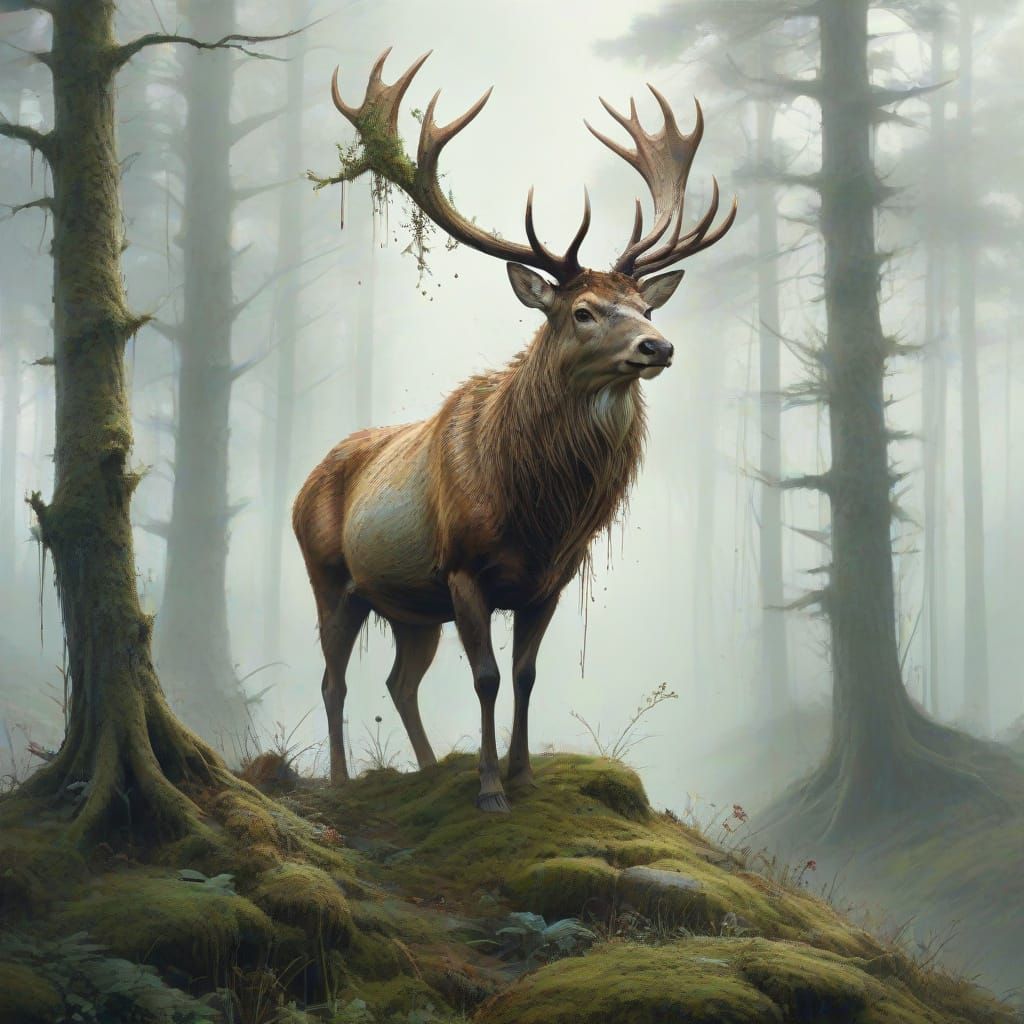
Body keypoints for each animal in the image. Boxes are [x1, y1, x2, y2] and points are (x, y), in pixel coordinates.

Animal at [293, 50, 737, 812]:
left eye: (646, 305)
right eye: (583, 311)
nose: (659, 346)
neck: (536, 509)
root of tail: (304, 482)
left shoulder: (550, 579)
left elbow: (527, 676)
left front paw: (525, 775)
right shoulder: (464, 568)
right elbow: (488, 678)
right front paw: (491, 789)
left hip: (411, 607)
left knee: (398, 682)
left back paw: (427, 768)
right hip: (330, 574)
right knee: (333, 679)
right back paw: (346, 781)